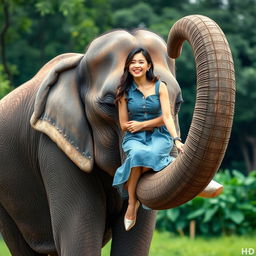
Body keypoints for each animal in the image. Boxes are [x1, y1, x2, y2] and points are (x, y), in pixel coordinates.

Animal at [0, 15, 235, 255]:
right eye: (108, 104)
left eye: (178, 103)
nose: (174, 47)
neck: (79, 64)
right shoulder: (55, 146)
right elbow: (79, 232)